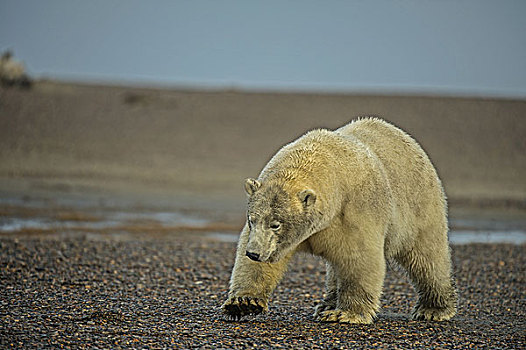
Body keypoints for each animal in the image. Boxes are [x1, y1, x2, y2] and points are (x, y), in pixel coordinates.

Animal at [223, 117, 458, 322]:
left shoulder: (354, 211)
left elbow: (359, 258)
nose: (254, 253)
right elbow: (258, 260)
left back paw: (434, 309)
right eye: (252, 219)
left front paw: (344, 314)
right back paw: (326, 303)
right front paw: (243, 303)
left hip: (419, 205)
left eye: (276, 224)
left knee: (427, 257)